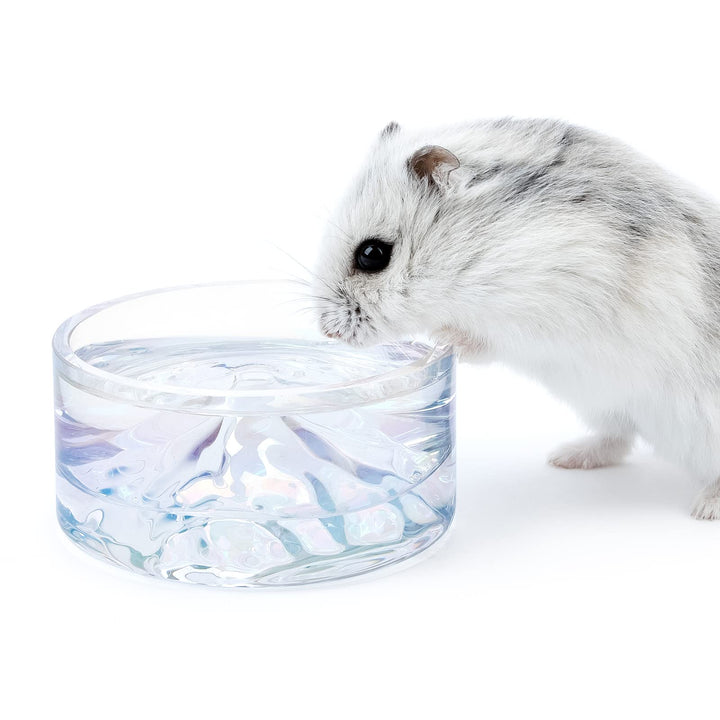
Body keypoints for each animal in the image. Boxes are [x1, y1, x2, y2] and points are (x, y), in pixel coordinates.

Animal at [313, 118, 720, 520]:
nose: (327, 332)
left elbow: (484, 340)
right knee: (618, 438)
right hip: (606, 406)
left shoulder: (546, 314)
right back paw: (564, 458)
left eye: (372, 254)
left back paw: (704, 509)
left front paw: (442, 338)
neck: (484, 245)